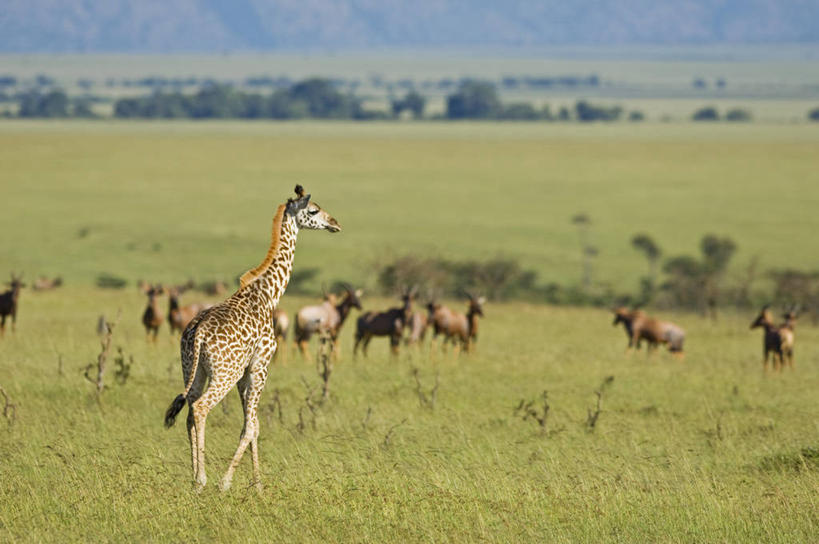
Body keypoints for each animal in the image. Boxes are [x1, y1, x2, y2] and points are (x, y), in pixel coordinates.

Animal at [163, 184, 340, 492]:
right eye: (314, 210)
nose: (335, 223)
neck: (269, 294)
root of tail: (197, 333)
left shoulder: (245, 372)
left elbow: (253, 425)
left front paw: (257, 485)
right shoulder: (261, 365)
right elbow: (249, 427)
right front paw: (227, 482)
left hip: (194, 370)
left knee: (189, 410)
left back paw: (194, 479)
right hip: (224, 373)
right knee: (200, 408)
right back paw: (203, 479)